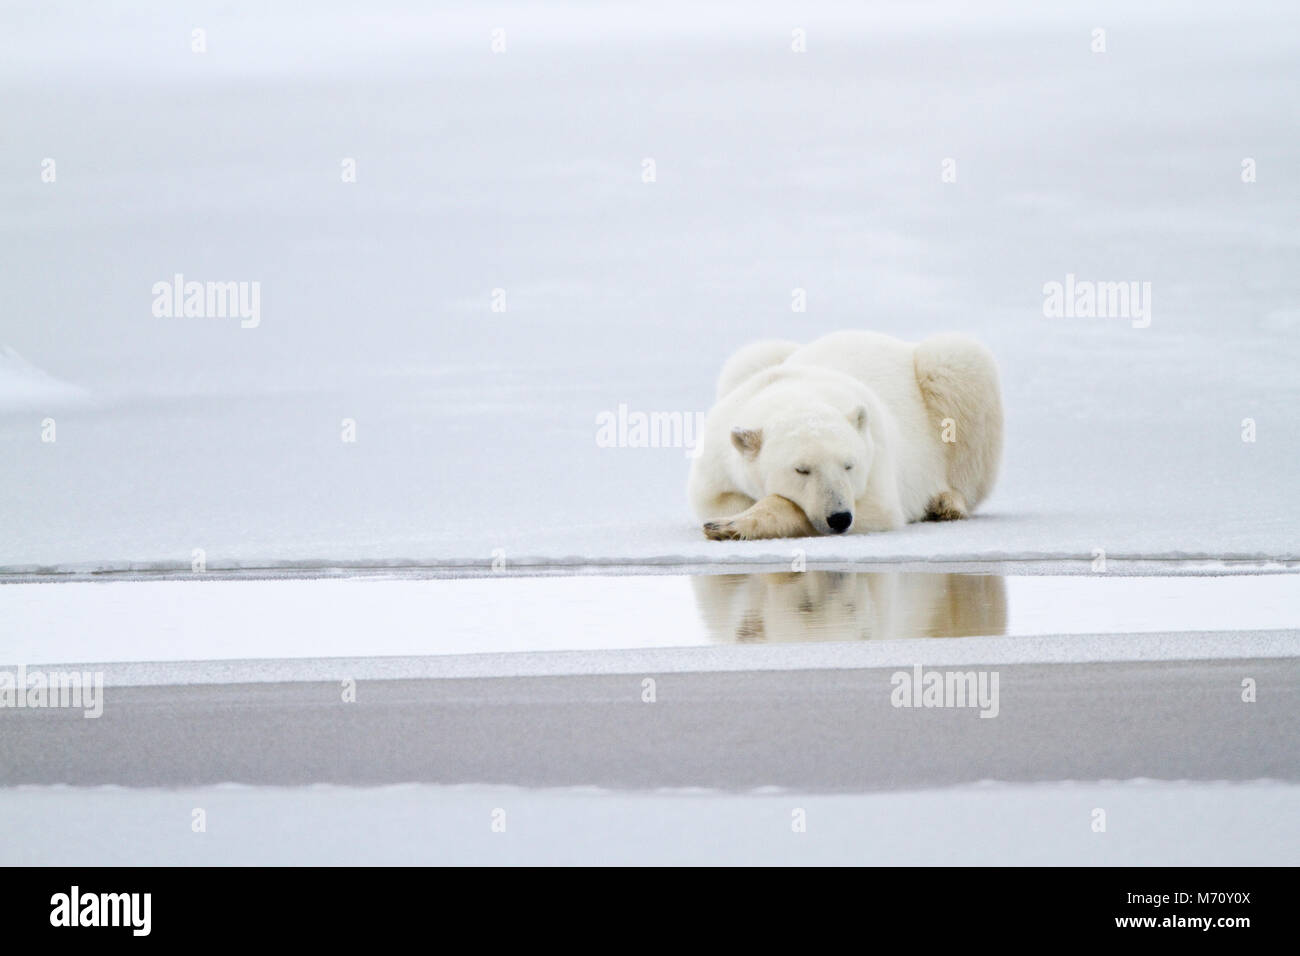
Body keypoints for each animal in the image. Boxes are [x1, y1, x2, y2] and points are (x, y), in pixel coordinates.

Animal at [691, 330, 1003, 538]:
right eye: (801, 470)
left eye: (849, 465)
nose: (839, 517)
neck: (794, 391)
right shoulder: (717, 453)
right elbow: (717, 500)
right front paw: (723, 521)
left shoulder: (875, 451)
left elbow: (879, 507)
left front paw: (729, 526)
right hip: (749, 363)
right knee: (753, 354)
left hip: (949, 380)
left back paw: (945, 503)